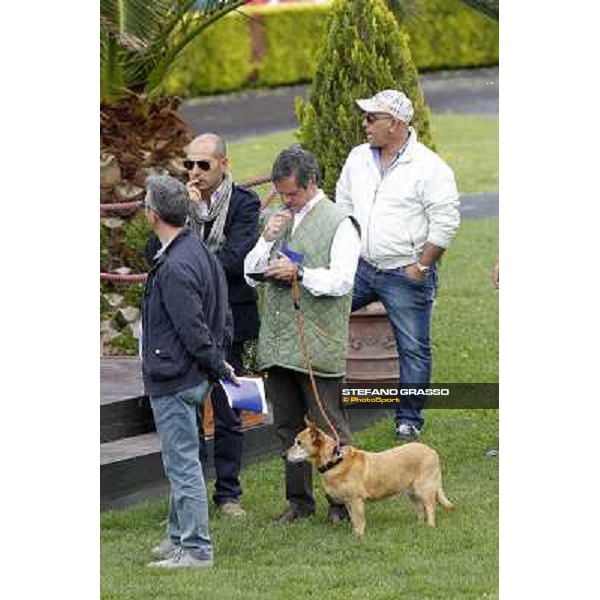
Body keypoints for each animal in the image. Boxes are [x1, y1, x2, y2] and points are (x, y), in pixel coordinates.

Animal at [284, 420, 450, 536]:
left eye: (299, 443)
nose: (283, 455)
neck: (335, 461)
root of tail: (432, 451)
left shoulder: (356, 501)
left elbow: (359, 520)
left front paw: (359, 537)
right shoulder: (348, 502)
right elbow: (353, 520)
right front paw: (353, 534)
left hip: (424, 489)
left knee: (430, 508)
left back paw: (430, 527)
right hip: (412, 492)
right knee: (420, 509)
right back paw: (419, 526)